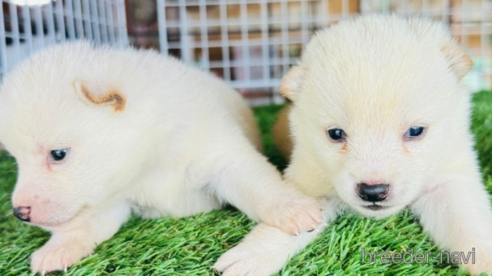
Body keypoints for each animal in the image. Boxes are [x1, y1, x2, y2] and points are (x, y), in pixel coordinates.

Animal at [0, 42, 322, 274]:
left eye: (58, 154)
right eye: (15, 159)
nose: (19, 212)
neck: (151, 161)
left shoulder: (223, 158)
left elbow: (260, 185)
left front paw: (296, 208)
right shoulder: (114, 199)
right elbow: (85, 225)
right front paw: (56, 250)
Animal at [214, 15, 492, 276]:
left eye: (415, 131)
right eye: (336, 133)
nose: (373, 191)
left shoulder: (449, 179)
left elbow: (468, 224)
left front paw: (486, 259)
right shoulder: (310, 183)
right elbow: (289, 218)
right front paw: (251, 256)